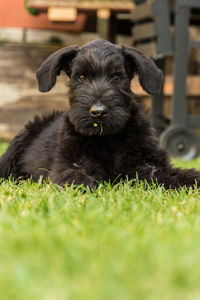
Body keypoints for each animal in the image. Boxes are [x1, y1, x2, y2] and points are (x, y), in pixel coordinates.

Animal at [0, 38, 200, 189]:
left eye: (116, 76)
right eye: (81, 76)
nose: (98, 112)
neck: (106, 139)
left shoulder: (149, 164)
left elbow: (171, 174)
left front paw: (192, 179)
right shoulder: (68, 164)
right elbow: (74, 175)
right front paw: (83, 188)